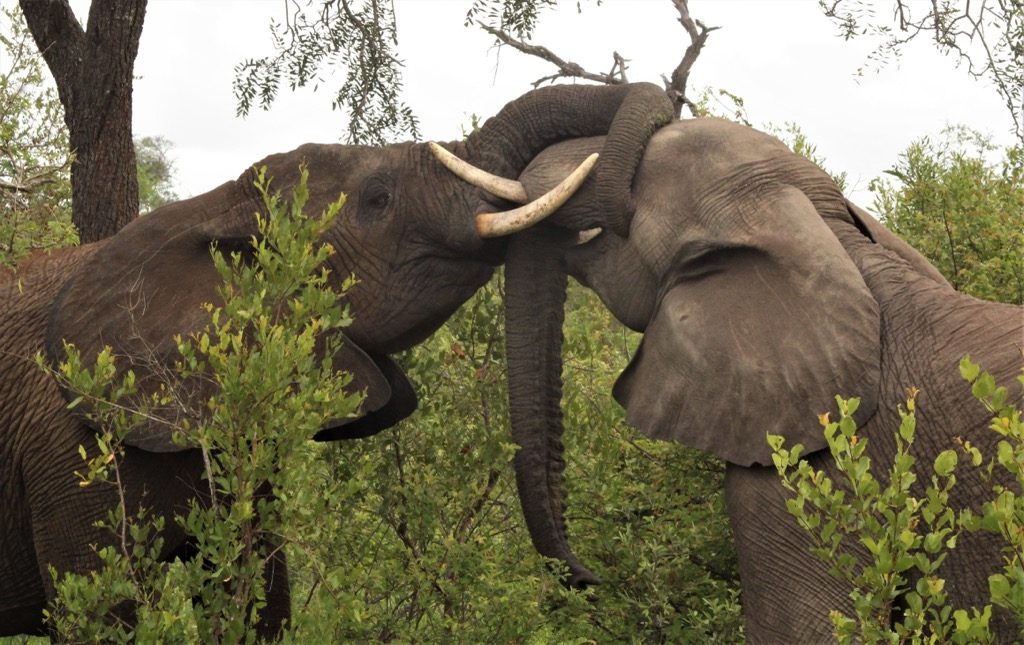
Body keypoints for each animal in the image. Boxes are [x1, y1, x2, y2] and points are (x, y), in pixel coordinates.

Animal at [2, 81, 679, 642]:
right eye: (378, 199)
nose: (586, 578)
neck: (209, 205)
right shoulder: (70, 446)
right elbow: (96, 613)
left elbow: (259, 595)